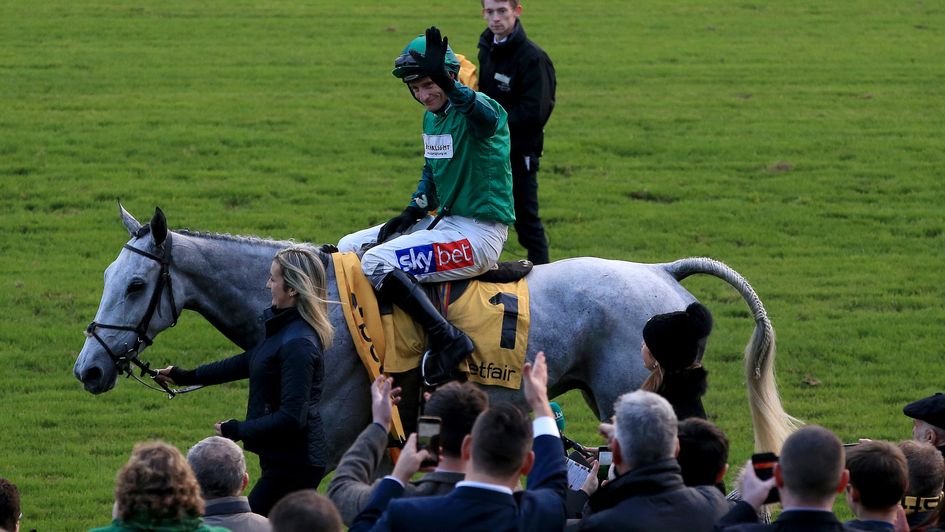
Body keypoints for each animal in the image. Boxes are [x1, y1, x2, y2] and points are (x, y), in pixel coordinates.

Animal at [75, 204, 796, 466]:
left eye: (135, 287)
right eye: (109, 277)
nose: (89, 369)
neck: (320, 310)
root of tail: (661, 271)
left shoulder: (333, 442)